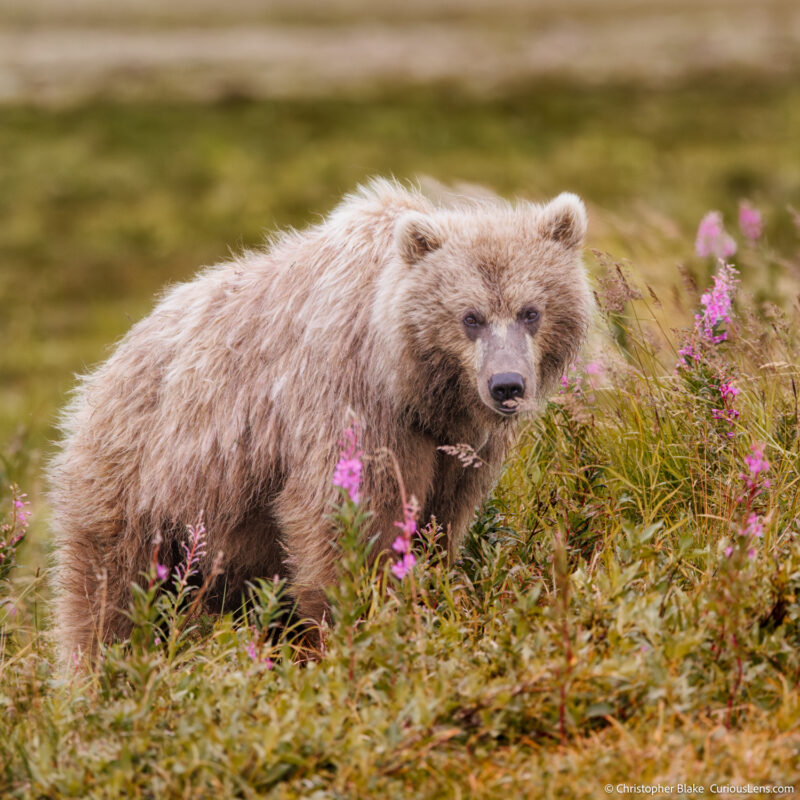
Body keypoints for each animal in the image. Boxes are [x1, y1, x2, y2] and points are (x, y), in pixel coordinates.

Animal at [47, 180, 592, 664]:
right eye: (470, 317)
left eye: (530, 311)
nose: (507, 385)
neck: (414, 386)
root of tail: (105, 367)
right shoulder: (350, 403)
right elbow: (336, 522)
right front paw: (354, 624)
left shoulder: (455, 450)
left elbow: (439, 525)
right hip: (144, 486)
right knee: (110, 599)